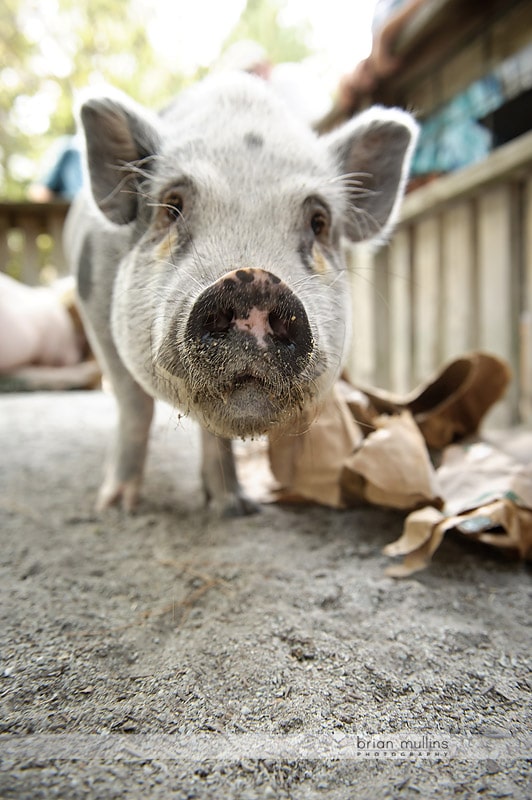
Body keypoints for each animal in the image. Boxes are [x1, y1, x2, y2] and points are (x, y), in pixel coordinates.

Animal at [64, 72, 418, 516]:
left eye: (319, 222)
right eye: (171, 207)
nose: (255, 280)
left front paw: (235, 508)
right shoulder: (92, 304)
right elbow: (134, 404)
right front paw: (116, 508)